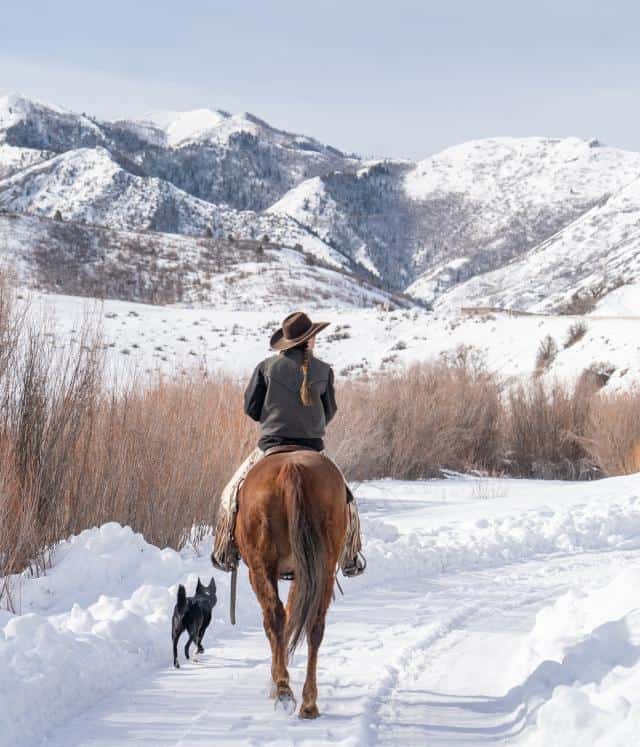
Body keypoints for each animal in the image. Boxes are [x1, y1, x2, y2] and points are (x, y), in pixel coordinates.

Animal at [232, 450, 348, 720]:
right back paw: (309, 703)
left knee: (274, 617)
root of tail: (292, 468)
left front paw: (275, 680)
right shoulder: (303, 575)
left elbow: (276, 621)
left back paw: (283, 690)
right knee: (314, 624)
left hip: (261, 564)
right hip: (322, 569)